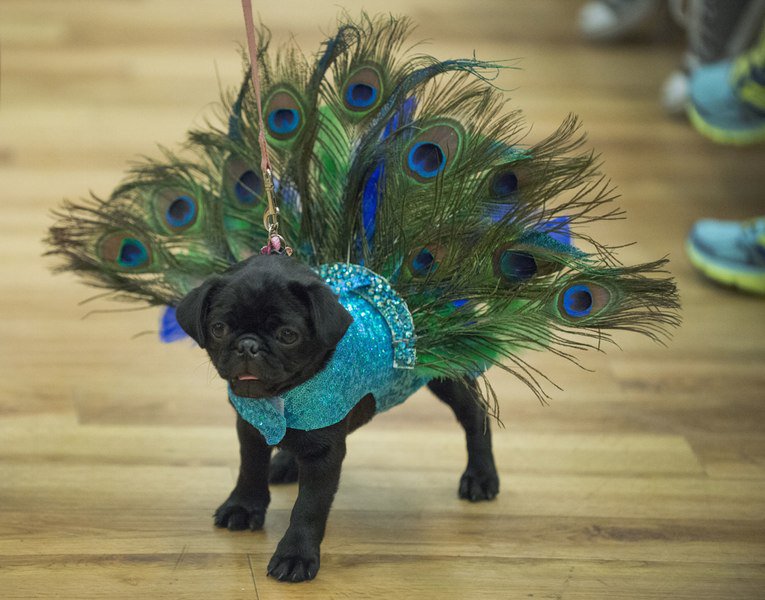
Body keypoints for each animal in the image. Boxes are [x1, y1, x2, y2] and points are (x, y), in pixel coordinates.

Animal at [178, 253, 502, 580]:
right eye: (219, 328)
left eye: (287, 336)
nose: (248, 345)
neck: (286, 394)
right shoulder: (251, 428)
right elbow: (251, 468)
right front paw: (243, 507)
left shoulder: (324, 454)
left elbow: (309, 506)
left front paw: (295, 555)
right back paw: (285, 463)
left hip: (448, 371)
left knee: (475, 415)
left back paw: (480, 476)